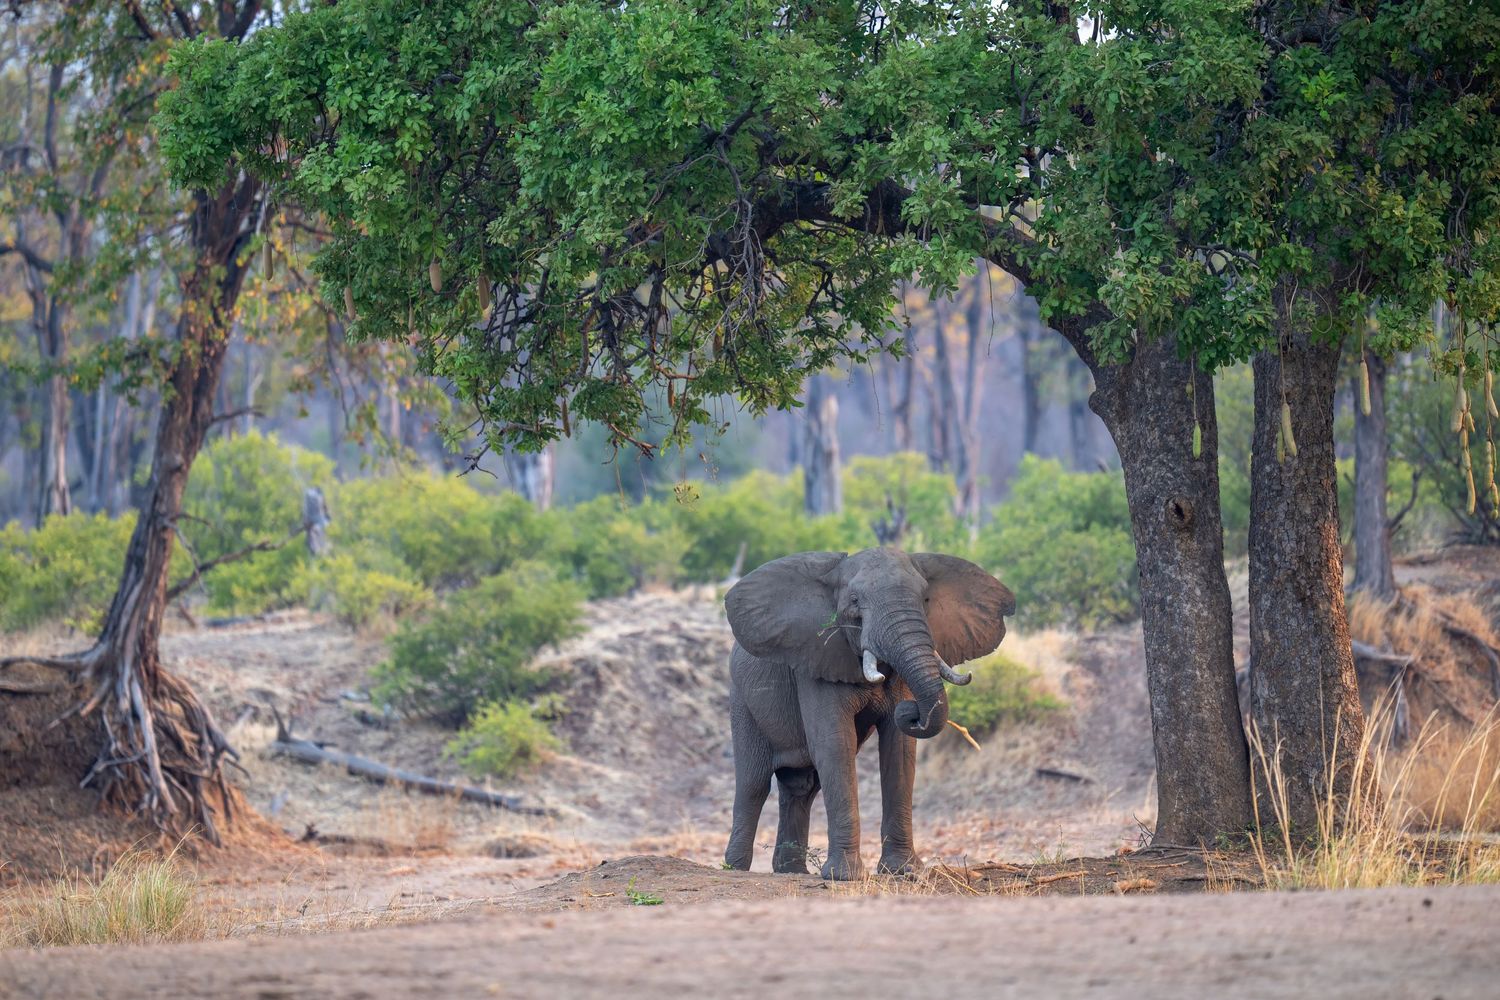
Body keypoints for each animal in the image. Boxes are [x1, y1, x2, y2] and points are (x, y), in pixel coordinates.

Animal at [721, 547, 1015, 880]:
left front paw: (903, 871)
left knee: (802, 788)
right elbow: (835, 744)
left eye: (925, 598)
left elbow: (900, 749)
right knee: (754, 783)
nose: (911, 710)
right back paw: (735, 867)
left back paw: (792, 873)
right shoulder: (816, 659)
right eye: (854, 601)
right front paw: (844, 877)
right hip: (742, 701)